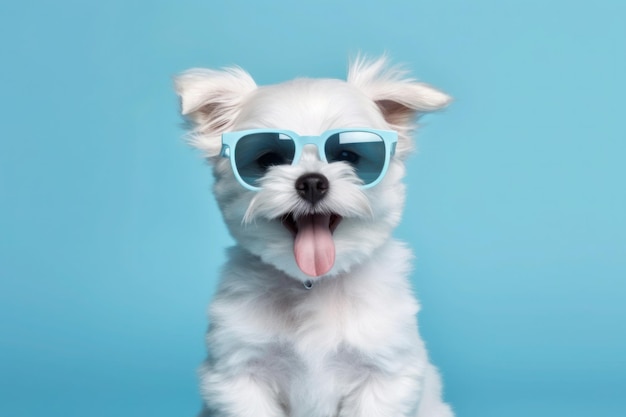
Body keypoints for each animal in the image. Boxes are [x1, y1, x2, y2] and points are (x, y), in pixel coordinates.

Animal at [176, 56, 454, 416]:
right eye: (268, 160)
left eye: (348, 156)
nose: (311, 182)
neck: (313, 283)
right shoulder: (239, 374)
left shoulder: (384, 374)